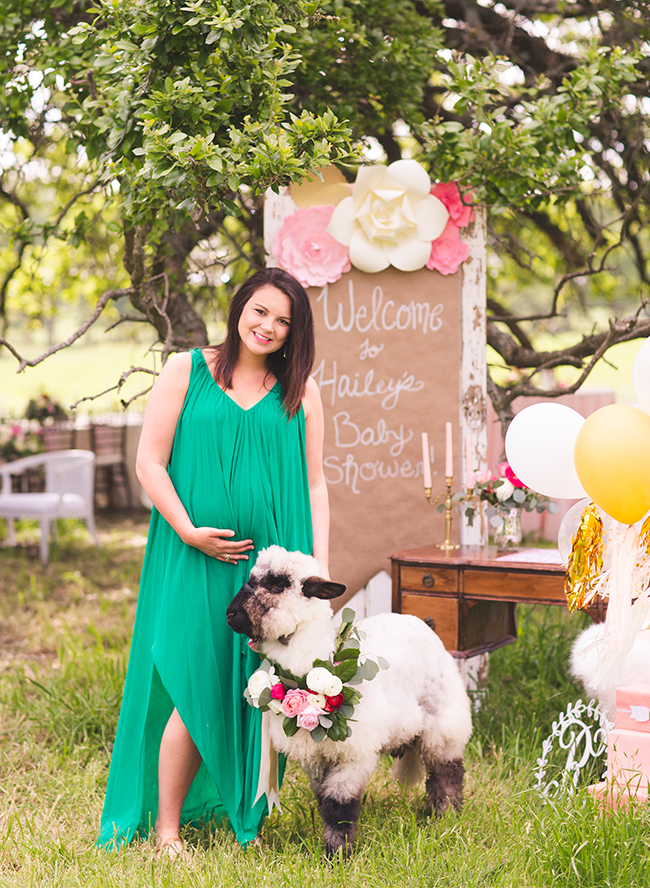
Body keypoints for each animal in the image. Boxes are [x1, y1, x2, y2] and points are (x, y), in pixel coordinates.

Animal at [227, 544, 470, 856]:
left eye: (278, 583)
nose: (230, 615)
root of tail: (416, 620)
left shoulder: (353, 753)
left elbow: (339, 804)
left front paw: (337, 854)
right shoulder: (315, 758)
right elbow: (324, 801)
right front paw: (333, 849)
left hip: (444, 719)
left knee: (447, 770)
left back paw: (445, 815)